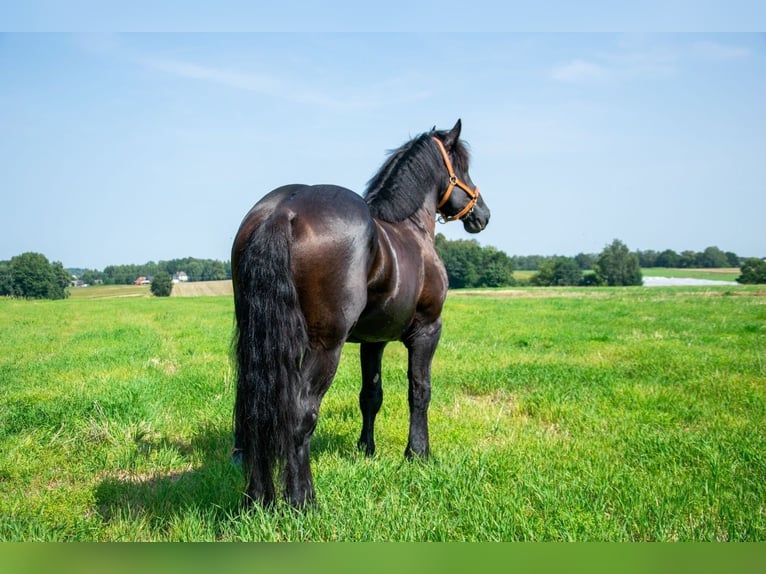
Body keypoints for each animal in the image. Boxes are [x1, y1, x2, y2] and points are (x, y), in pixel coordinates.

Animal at [231, 121, 492, 508]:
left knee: (256, 411)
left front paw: (365, 450)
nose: (483, 215)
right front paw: (418, 454)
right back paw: (303, 501)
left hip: (259, 341)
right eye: (462, 167)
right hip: (326, 346)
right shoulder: (427, 330)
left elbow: (371, 395)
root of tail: (283, 211)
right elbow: (420, 391)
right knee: (300, 414)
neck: (410, 228)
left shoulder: (373, 341)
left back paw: (258, 499)